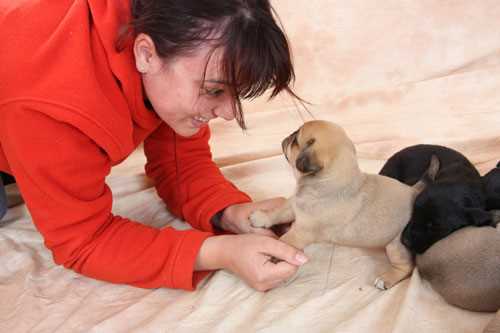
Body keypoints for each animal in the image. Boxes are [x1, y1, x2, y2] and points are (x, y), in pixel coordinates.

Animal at [250, 119, 422, 288]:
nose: (289, 135)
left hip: (396, 246)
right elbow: (278, 212)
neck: (328, 181)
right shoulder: (295, 205)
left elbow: (286, 240)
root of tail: (414, 192)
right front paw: (261, 218)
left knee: (406, 267)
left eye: (295, 140)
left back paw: (387, 279)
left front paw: (273, 251)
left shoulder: (301, 232)